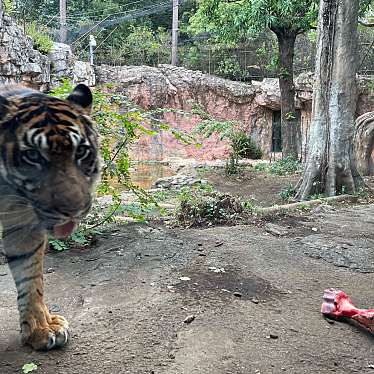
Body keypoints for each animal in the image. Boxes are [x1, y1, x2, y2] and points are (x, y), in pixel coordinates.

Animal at [0, 83, 100, 350]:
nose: (73, 210)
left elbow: (30, 276)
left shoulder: (22, 222)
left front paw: (42, 329)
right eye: (33, 155)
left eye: (81, 151)